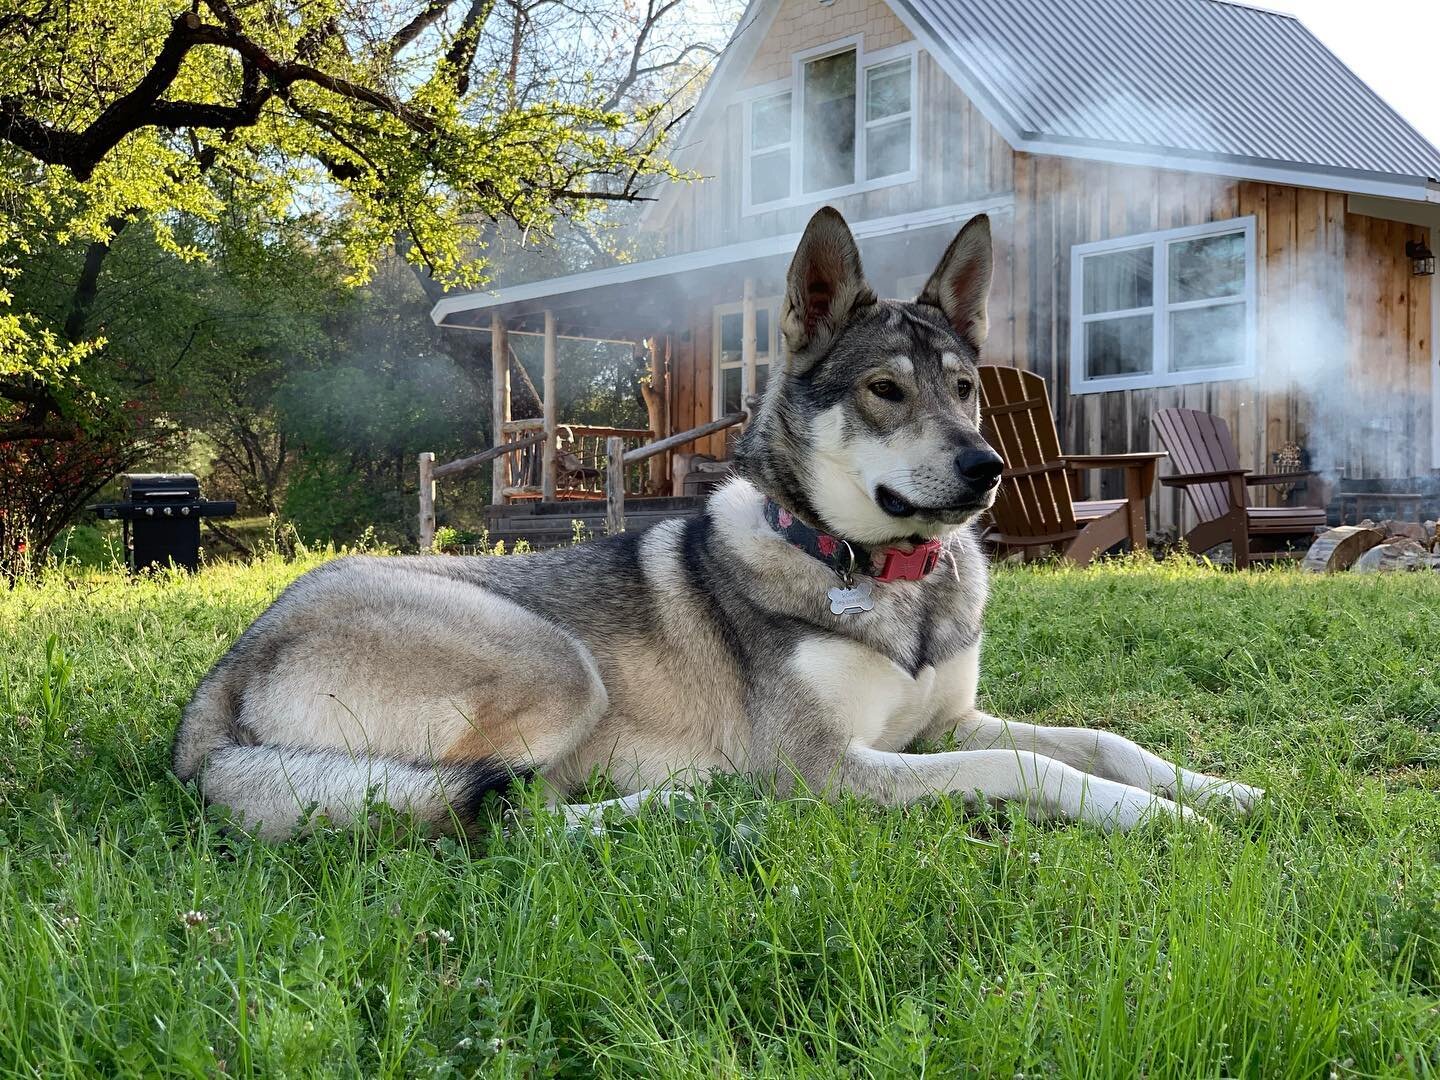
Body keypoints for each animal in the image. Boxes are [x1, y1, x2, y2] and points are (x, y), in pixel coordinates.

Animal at [174, 207, 1261, 840]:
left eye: (964, 388)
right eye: (884, 390)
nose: (990, 469)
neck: (886, 583)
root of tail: (213, 697)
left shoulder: (945, 721)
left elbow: (1098, 737)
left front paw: (1218, 788)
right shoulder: (829, 768)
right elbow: (1026, 762)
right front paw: (1156, 818)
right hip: (558, 666)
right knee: (502, 825)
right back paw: (683, 804)